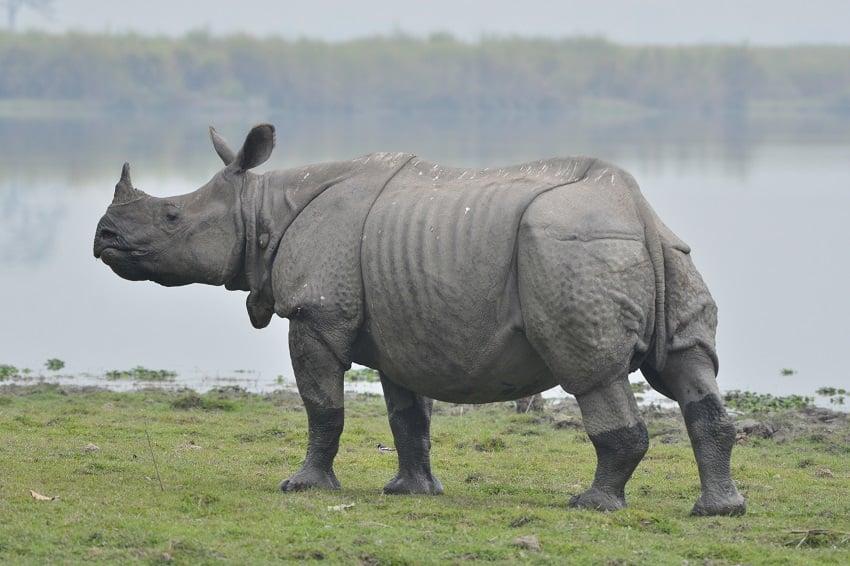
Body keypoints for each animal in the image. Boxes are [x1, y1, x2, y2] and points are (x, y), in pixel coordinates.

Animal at [91, 125, 744, 520]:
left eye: (171, 217)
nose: (103, 237)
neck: (262, 210)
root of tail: (637, 212)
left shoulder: (317, 314)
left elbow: (322, 408)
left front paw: (303, 486)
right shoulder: (401, 325)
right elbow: (407, 416)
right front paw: (410, 492)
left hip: (571, 251)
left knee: (592, 372)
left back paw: (591, 505)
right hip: (663, 252)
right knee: (687, 369)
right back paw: (719, 511)